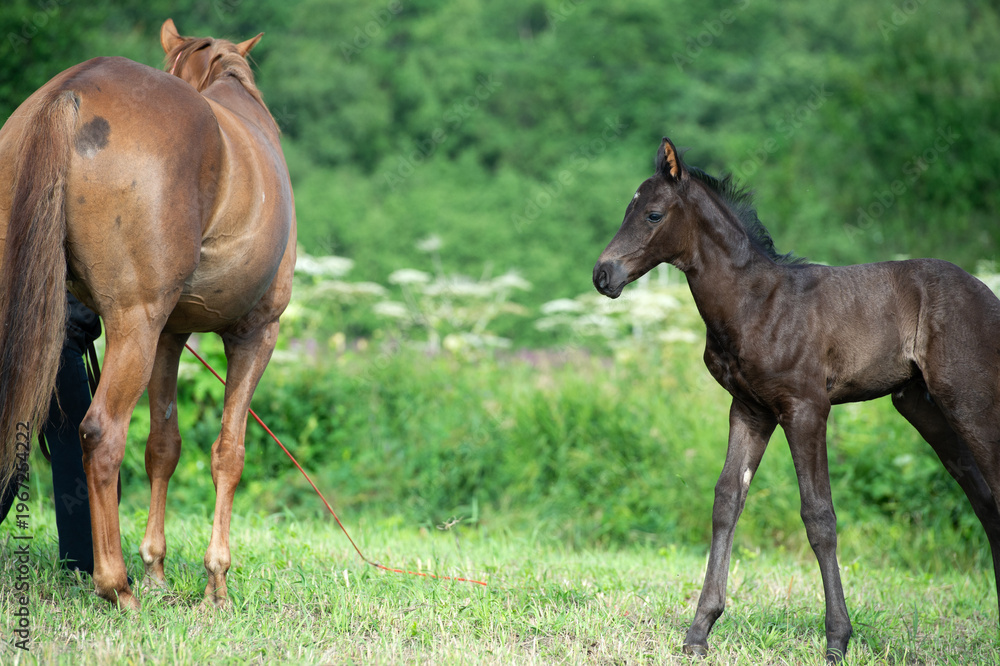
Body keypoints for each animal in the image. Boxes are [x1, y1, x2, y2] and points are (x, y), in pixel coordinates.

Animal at [0, 18, 296, 611]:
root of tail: (71, 92)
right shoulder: (255, 334)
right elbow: (229, 452)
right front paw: (216, 582)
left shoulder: (170, 335)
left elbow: (163, 446)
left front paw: (157, 568)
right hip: (134, 326)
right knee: (101, 434)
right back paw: (116, 586)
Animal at [593, 137, 1000, 662]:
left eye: (652, 214)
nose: (603, 274)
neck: (754, 304)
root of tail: (987, 295)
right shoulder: (750, 410)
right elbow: (727, 501)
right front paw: (699, 632)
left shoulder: (806, 408)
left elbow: (818, 515)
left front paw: (837, 640)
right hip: (922, 406)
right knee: (983, 499)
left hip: (970, 399)